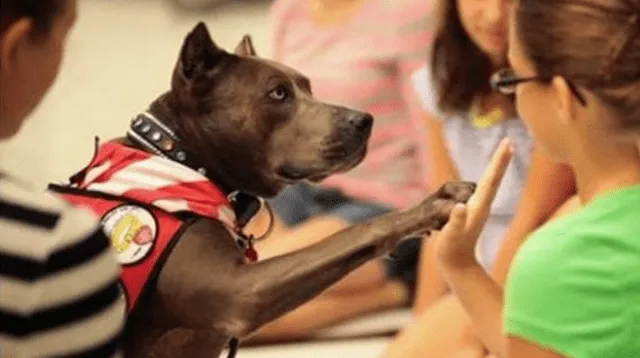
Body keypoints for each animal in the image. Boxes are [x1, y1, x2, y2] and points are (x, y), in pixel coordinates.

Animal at [48, 23, 476, 356]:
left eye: (308, 87)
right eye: (278, 93)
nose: (364, 120)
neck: (179, 155)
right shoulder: (240, 292)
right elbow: (353, 232)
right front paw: (429, 208)